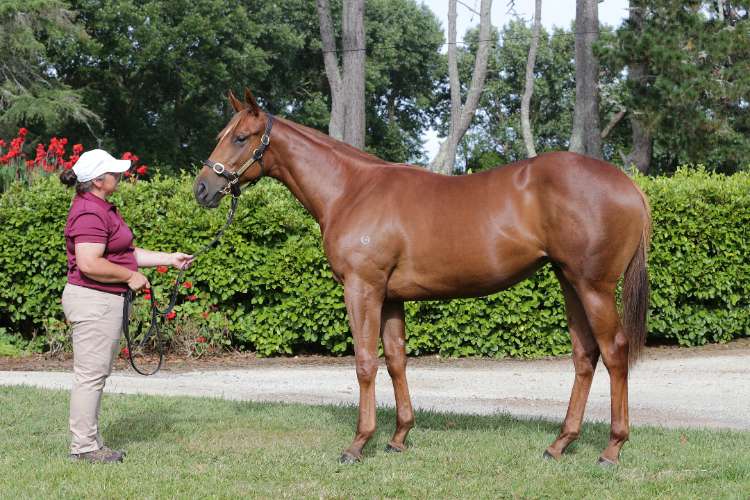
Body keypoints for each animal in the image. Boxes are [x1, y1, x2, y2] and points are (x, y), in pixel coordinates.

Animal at [193, 89, 651, 466]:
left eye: (240, 137)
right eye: (223, 133)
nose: (202, 189)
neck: (351, 190)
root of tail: (629, 186)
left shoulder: (362, 289)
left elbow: (365, 363)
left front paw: (358, 444)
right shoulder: (391, 297)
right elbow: (396, 361)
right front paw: (398, 437)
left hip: (593, 287)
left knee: (614, 353)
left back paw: (612, 448)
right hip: (569, 282)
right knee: (585, 356)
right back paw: (560, 444)